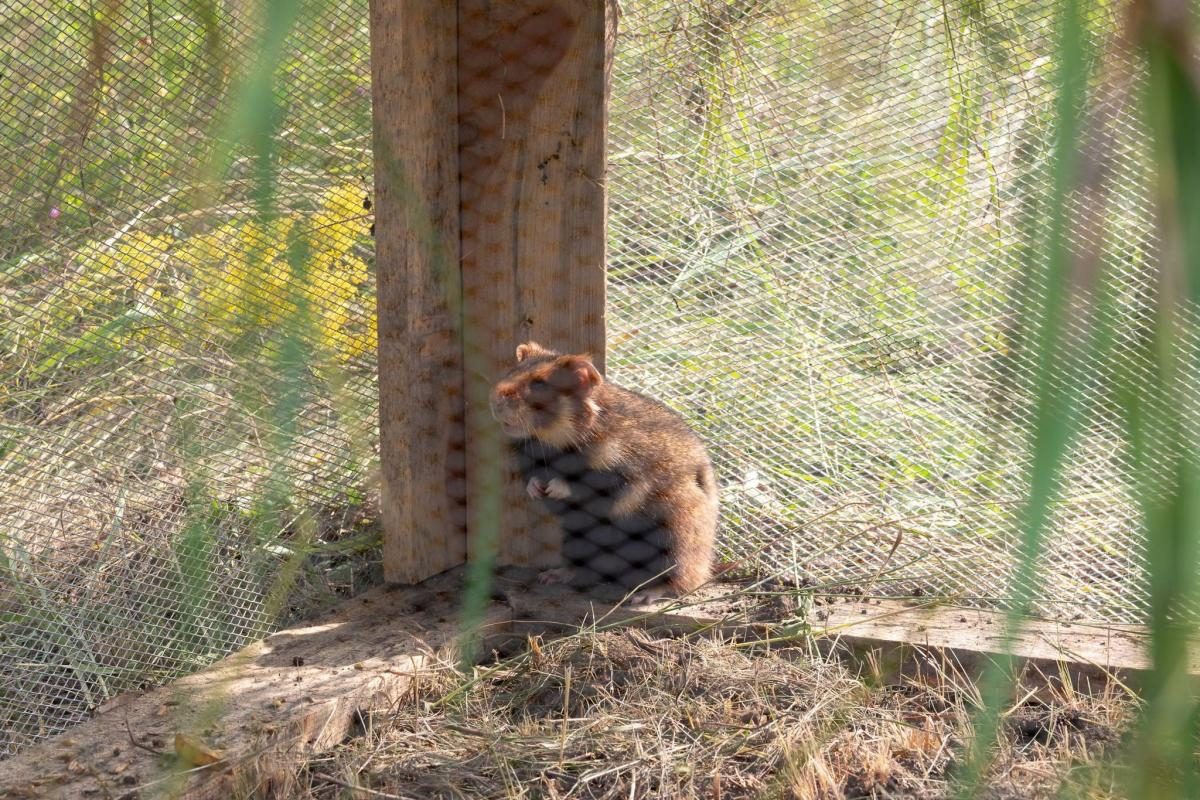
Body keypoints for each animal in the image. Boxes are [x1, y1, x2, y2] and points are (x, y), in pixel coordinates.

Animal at [489, 340, 715, 604]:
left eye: (540, 383)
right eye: (511, 371)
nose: (494, 400)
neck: (555, 441)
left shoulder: (626, 475)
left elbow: (587, 484)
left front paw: (554, 486)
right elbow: (534, 479)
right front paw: (536, 489)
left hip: (676, 539)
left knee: (681, 579)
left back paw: (644, 595)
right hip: (576, 538)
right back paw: (553, 575)